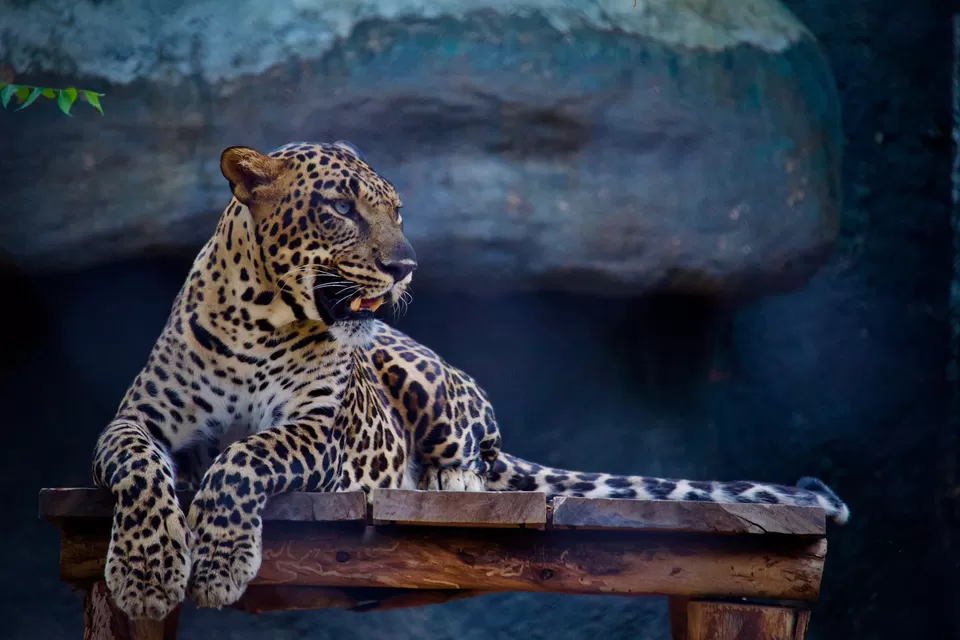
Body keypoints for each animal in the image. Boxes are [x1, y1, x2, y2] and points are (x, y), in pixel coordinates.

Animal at [92, 140, 850, 621]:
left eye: (396, 211)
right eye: (340, 207)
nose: (405, 265)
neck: (260, 318)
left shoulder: (318, 431)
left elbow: (244, 457)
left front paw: (218, 565)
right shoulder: (136, 420)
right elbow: (140, 468)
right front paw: (146, 575)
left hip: (426, 378)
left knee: (474, 458)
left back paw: (444, 482)